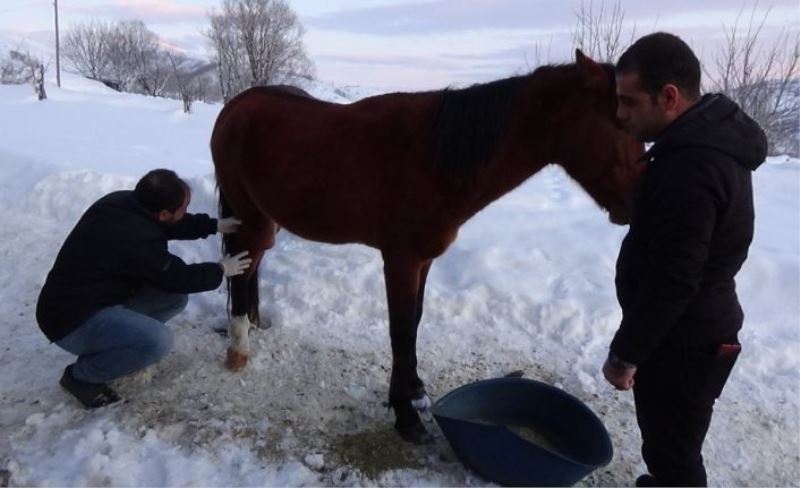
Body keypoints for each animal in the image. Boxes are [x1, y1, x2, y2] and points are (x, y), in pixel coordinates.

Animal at [211, 50, 644, 446]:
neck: (434, 159)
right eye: (623, 122)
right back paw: (238, 346)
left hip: (266, 220)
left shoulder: (424, 261)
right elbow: (400, 331)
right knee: (242, 266)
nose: (635, 205)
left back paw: (253, 323)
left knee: (251, 265)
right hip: (250, 218)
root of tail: (237, 106)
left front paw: (414, 390)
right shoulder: (401, 261)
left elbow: (415, 323)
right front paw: (406, 417)